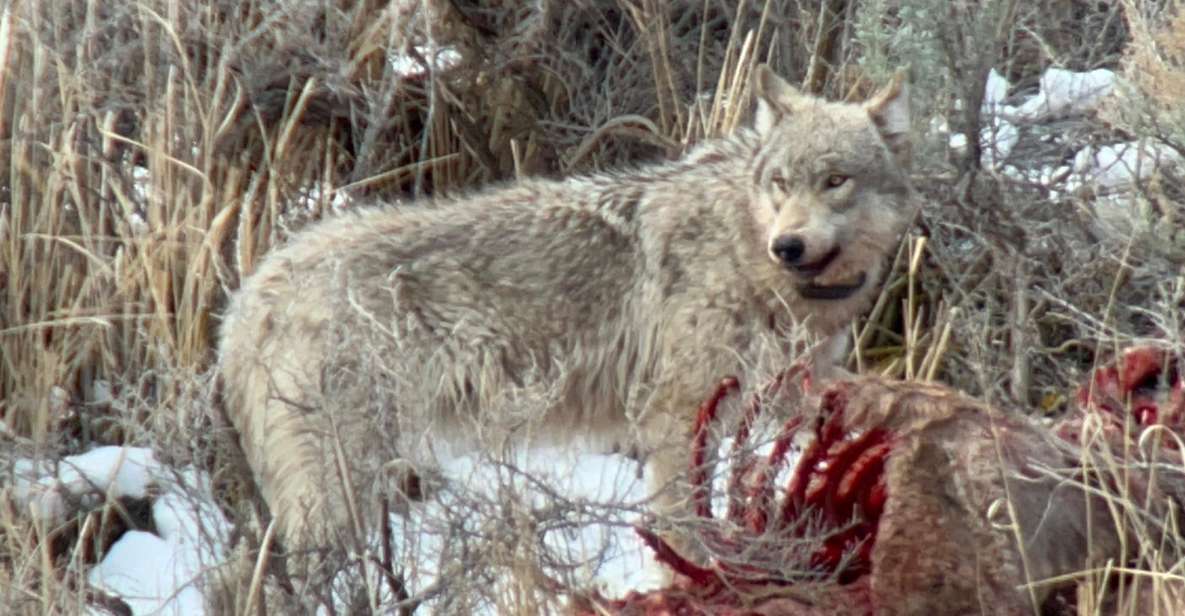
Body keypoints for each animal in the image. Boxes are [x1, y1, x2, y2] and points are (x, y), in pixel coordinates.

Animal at [213, 64, 914, 566]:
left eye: (836, 181)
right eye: (780, 182)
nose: (787, 245)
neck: (747, 250)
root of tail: (250, 295)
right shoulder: (672, 419)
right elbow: (681, 530)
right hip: (342, 488)